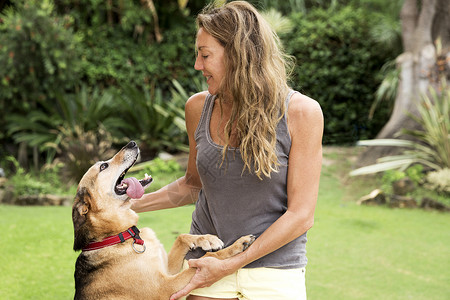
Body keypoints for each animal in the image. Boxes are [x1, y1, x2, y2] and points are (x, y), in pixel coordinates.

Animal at [72, 142, 255, 298]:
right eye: (103, 166)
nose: (132, 143)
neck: (119, 234)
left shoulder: (168, 270)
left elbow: (181, 237)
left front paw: (207, 239)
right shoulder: (165, 287)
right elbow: (210, 257)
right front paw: (238, 244)